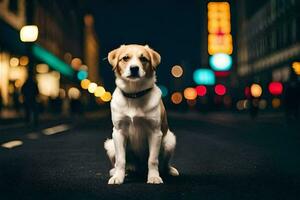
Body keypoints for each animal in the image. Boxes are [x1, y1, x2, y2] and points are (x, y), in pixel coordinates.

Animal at [104, 43, 178, 184]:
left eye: (143, 59)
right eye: (125, 58)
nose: (134, 68)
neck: (134, 95)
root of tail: (139, 169)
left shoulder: (155, 133)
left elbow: (153, 160)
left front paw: (154, 177)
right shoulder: (118, 132)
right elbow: (121, 160)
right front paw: (118, 177)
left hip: (170, 141)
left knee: (164, 164)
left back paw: (170, 170)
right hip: (110, 144)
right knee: (119, 163)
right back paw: (119, 172)